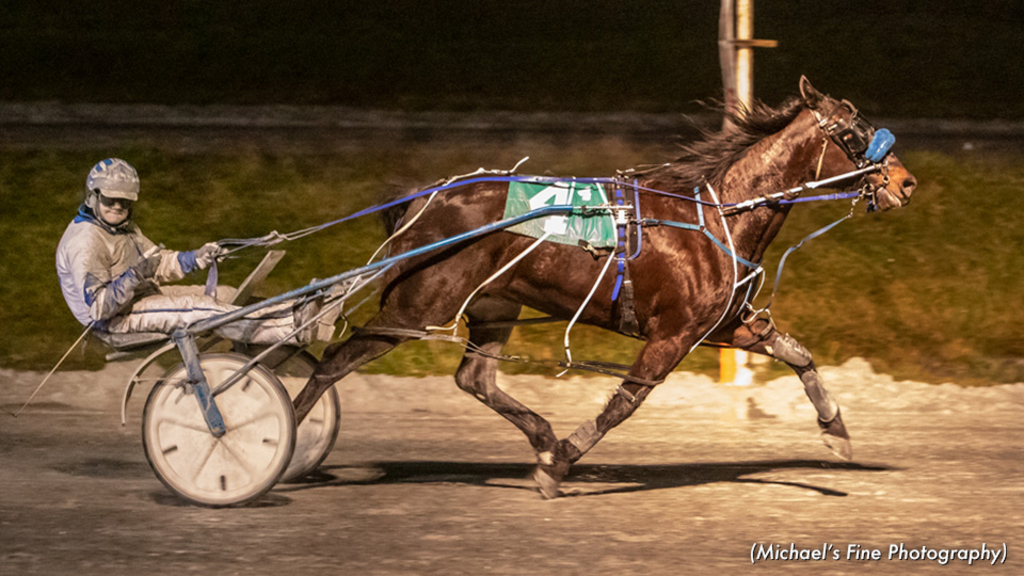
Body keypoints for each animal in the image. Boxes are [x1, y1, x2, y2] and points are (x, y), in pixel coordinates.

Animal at [290, 78, 921, 496]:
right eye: (854, 132)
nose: (906, 183)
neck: (715, 217)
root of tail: (425, 200)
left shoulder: (726, 325)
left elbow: (797, 353)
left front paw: (835, 431)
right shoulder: (672, 335)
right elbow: (625, 402)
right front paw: (558, 465)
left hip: (494, 304)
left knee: (475, 378)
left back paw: (540, 434)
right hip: (417, 306)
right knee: (335, 361)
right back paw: (286, 440)